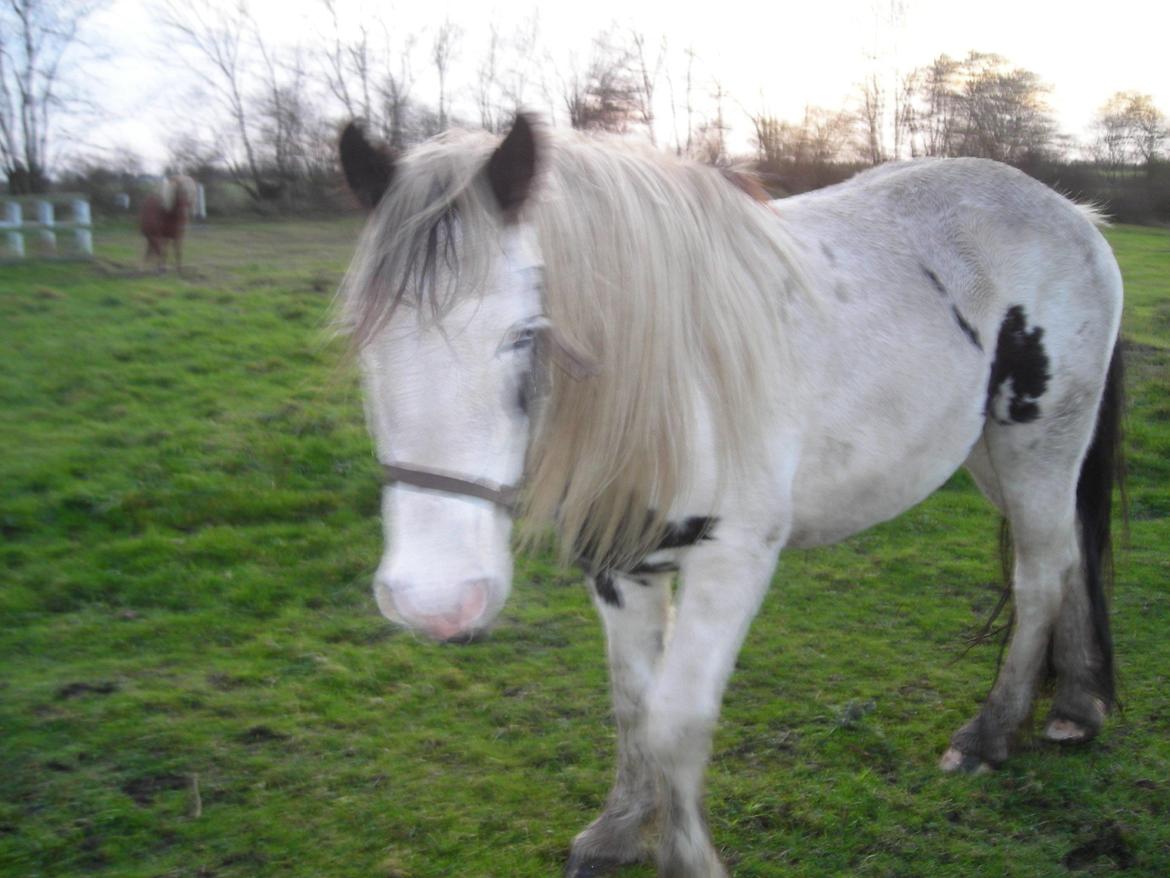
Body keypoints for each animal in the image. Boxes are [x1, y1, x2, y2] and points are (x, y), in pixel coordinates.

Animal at [336, 118, 1123, 878]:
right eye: (361, 342)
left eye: (525, 335)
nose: (435, 602)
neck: (673, 381)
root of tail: (1073, 216)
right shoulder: (616, 564)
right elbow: (632, 703)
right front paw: (619, 829)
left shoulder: (731, 560)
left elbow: (676, 718)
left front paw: (682, 856)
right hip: (991, 455)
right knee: (1068, 557)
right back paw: (1077, 708)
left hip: (1039, 445)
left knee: (1039, 573)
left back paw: (992, 733)